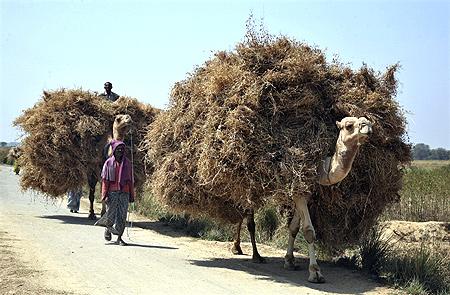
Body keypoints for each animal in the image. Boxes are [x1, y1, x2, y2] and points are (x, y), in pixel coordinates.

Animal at [229, 117, 372, 284]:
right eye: (349, 126)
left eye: (366, 121)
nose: (367, 126)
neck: (320, 168)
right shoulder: (299, 192)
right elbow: (309, 231)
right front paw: (315, 272)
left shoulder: (305, 194)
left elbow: (294, 227)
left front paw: (289, 261)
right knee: (247, 217)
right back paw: (253, 254)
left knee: (243, 212)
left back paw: (240, 248)